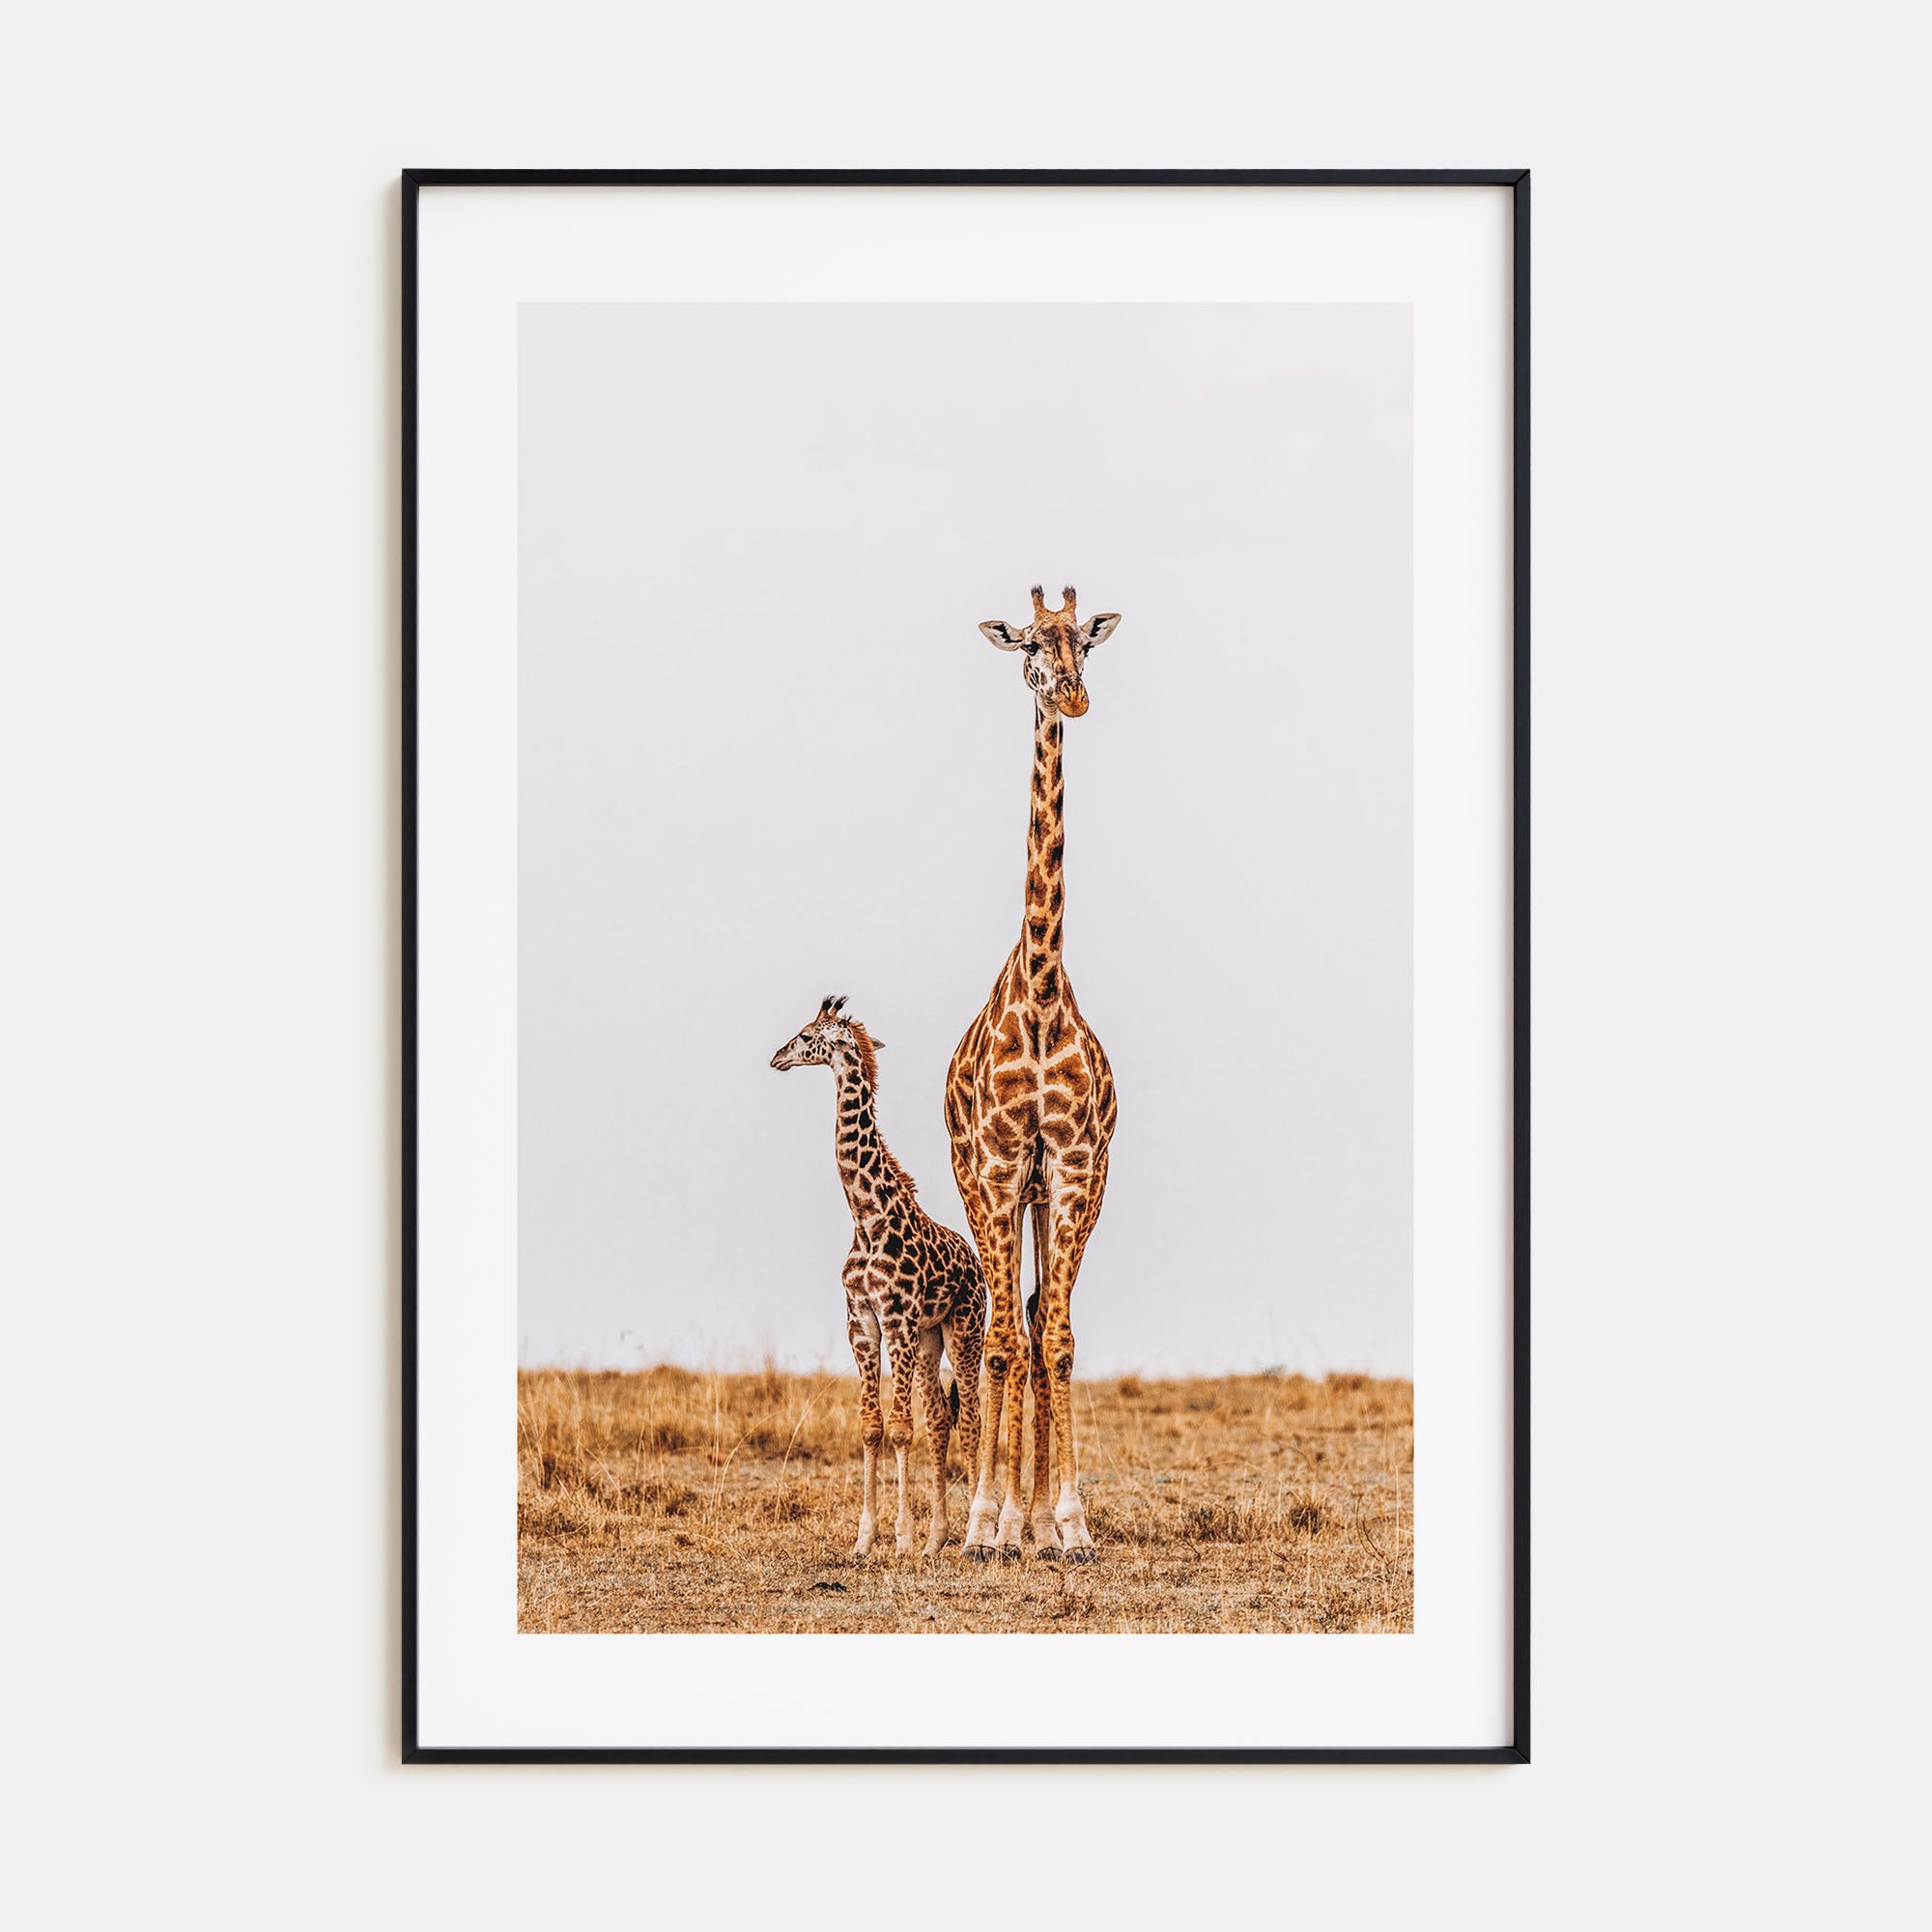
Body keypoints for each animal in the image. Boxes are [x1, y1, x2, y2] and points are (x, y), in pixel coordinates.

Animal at [771, 996, 987, 1558]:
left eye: (807, 1036)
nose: (777, 1057)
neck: (867, 1218)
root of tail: (976, 1263)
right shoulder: (861, 1321)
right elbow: (872, 1427)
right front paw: (866, 1538)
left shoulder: (898, 1319)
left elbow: (901, 1427)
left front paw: (902, 1538)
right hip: (932, 1338)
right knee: (941, 1419)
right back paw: (938, 1539)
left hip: (964, 1329)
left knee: (972, 1418)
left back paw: (973, 1534)